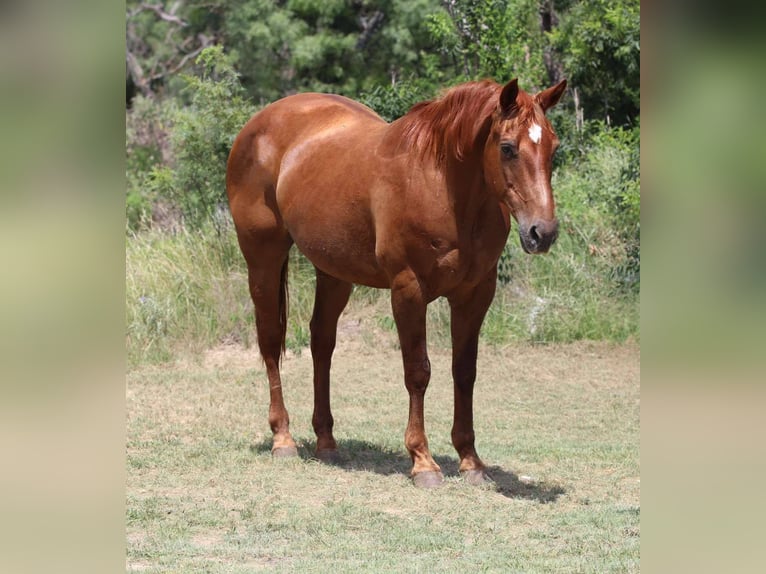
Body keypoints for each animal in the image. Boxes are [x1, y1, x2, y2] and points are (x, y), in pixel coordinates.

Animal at [226, 77, 567, 488]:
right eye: (507, 148)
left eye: (553, 146)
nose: (542, 233)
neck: (443, 186)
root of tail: (259, 123)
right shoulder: (409, 291)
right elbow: (418, 372)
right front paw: (423, 461)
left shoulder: (474, 296)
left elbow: (464, 372)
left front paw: (470, 461)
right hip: (263, 257)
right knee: (270, 340)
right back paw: (283, 438)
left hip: (334, 272)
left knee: (321, 342)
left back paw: (326, 441)